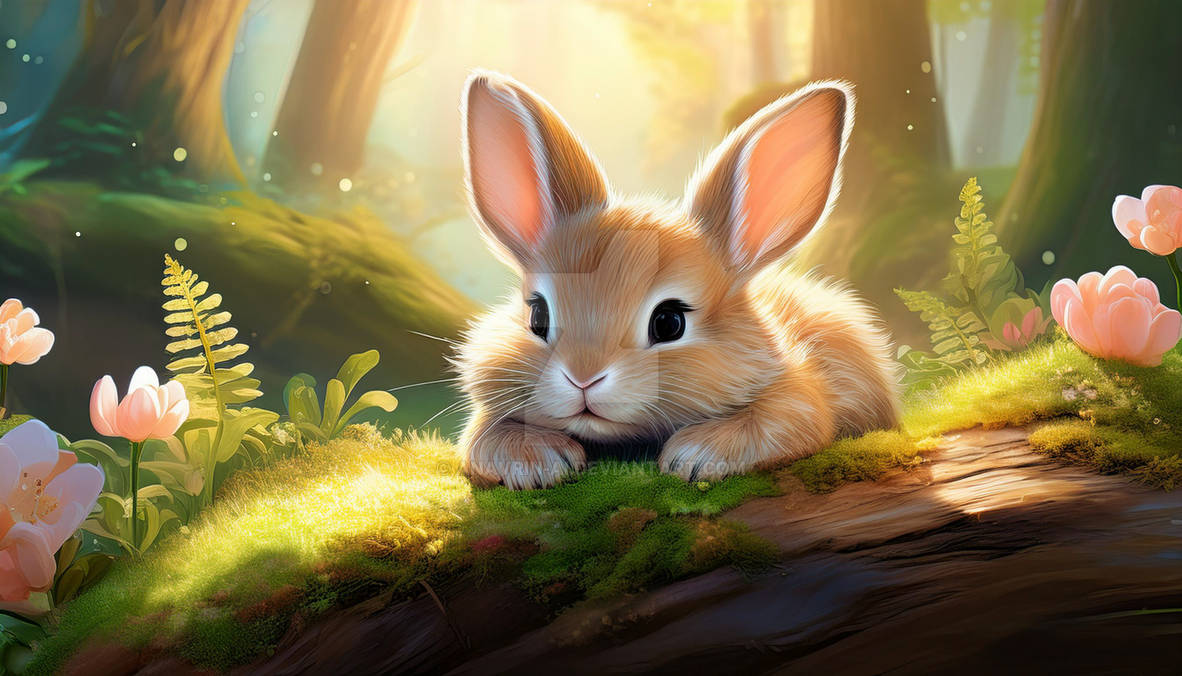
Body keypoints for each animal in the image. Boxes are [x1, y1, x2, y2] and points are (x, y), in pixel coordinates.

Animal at [454, 70, 900, 490]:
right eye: (538, 317)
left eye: (669, 322)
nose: (583, 378)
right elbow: (483, 438)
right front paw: (539, 461)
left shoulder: (798, 397)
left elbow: (783, 420)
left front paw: (694, 455)